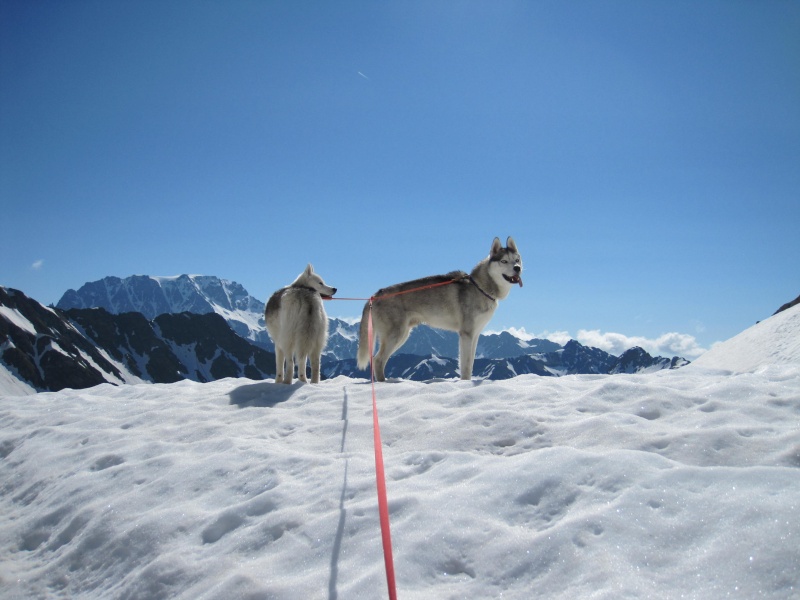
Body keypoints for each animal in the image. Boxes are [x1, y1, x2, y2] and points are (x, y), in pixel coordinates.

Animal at [358, 236, 520, 380]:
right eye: (504, 261)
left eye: (517, 260)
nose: (517, 268)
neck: (480, 287)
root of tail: (374, 295)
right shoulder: (466, 334)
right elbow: (466, 366)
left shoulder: (475, 335)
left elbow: (470, 363)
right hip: (396, 335)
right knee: (378, 360)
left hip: (402, 335)